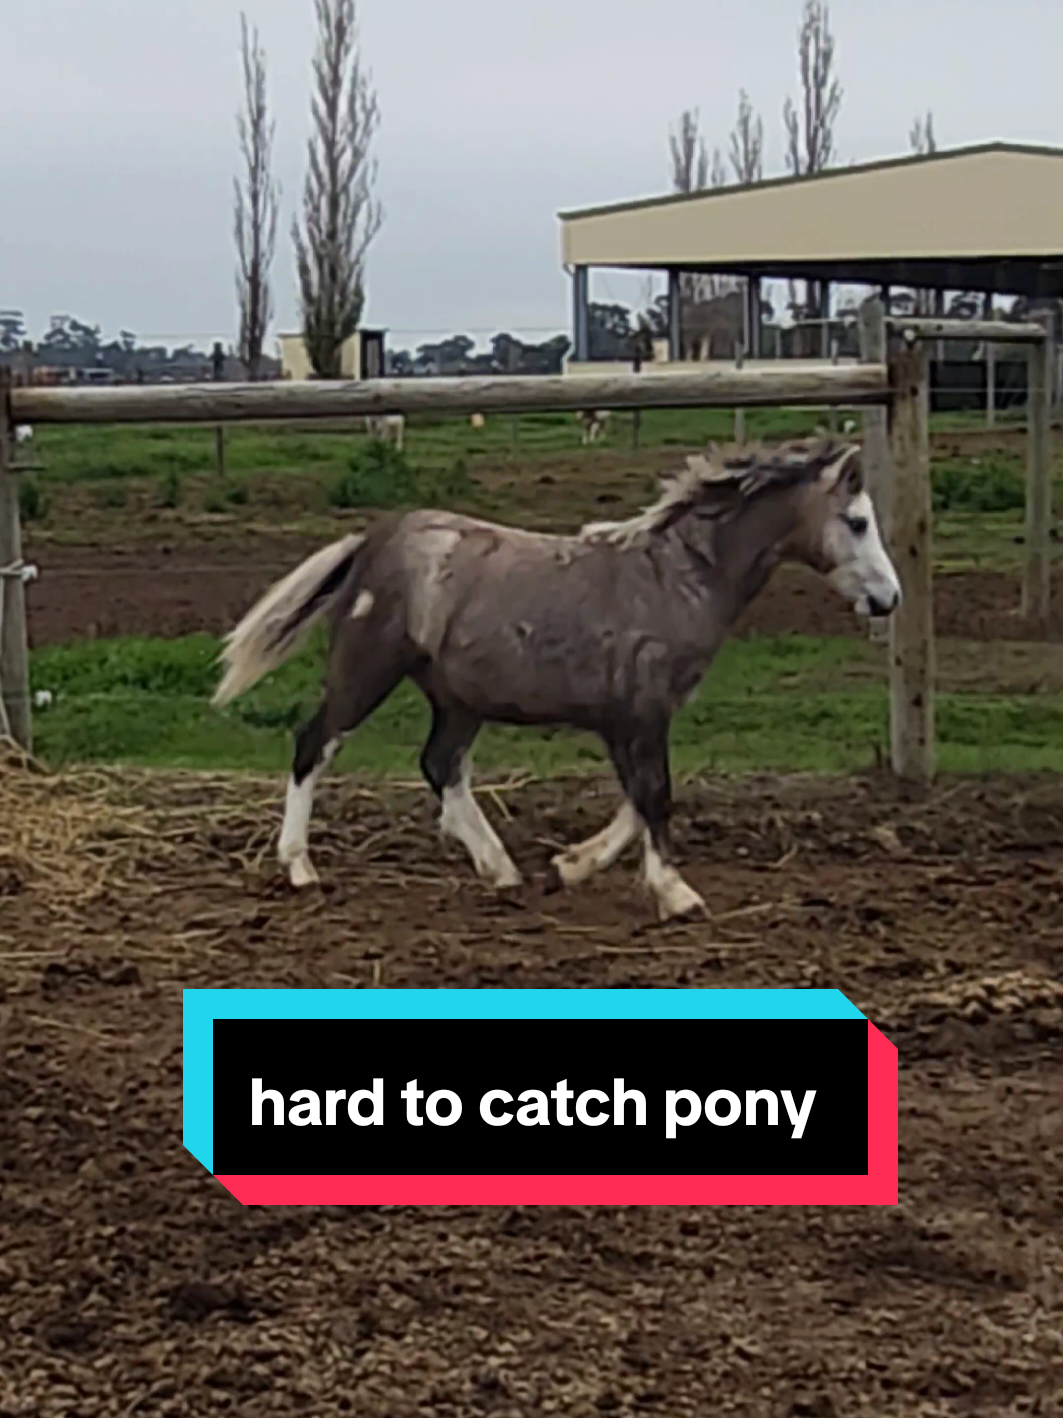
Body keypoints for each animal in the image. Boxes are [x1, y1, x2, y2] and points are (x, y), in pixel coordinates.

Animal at [212, 438, 901, 922]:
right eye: (858, 521)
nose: (889, 599)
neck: (674, 579)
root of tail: (373, 540)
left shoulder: (626, 718)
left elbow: (635, 801)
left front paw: (570, 865)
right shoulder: (643, 711)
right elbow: (654, 796)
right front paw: (677, 894)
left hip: (458, 700)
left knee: (441, 765)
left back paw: (501, 870)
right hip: (366, 671)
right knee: (315, 744)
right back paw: (300, 868)